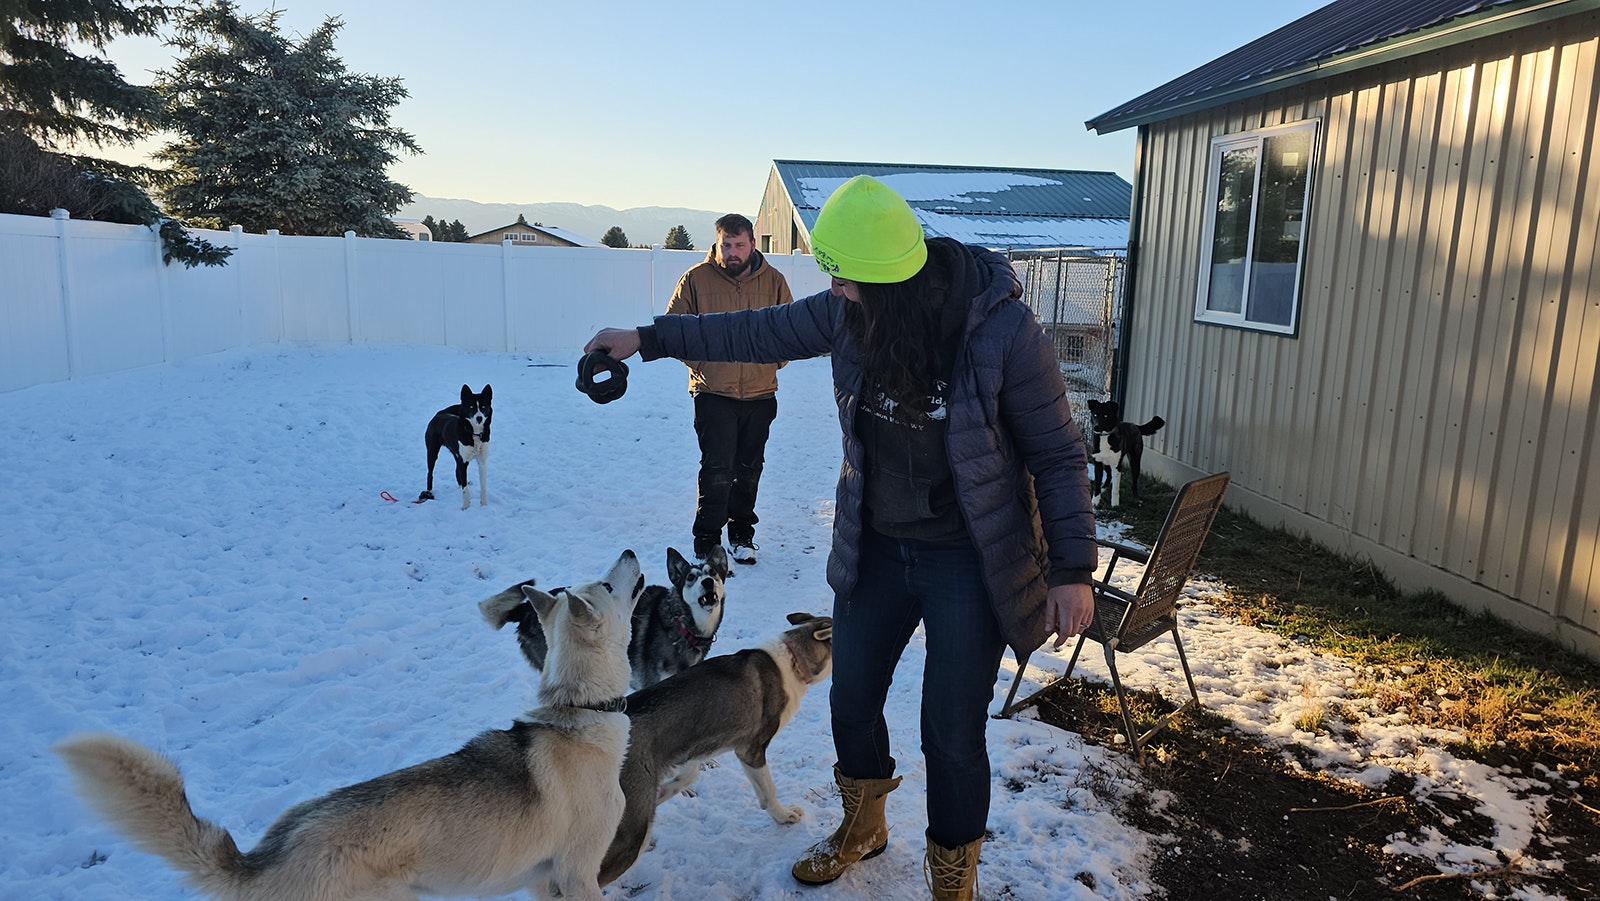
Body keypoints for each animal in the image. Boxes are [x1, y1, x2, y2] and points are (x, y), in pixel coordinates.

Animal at [416, 384, 489, 512]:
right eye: (471, 407)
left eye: (483, 406)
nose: (479, 418)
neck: (474, 433)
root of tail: (439, 414)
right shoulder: (463, 461)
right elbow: (465, 489)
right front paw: (466, 507)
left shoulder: (482, 461)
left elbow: (483, 486)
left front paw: (484, 506)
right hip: (432, 451)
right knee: (430, 473)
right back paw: (429, 493)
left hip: (456, 455)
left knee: (457, 472)